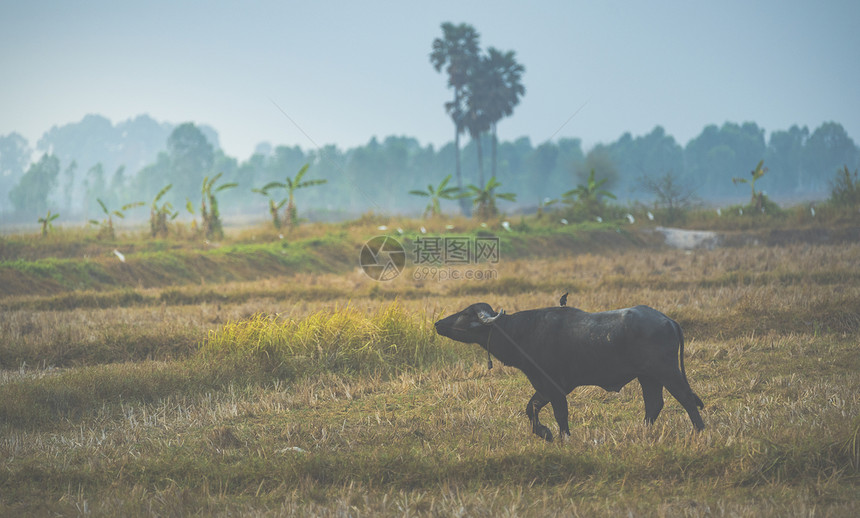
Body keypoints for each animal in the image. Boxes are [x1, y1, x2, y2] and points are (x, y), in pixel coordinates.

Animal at [436, 304, 704, 442]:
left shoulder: (554, 387)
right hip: (648, 377)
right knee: (654, 403)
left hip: (667, 371)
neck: (522, 332)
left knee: (686, 398)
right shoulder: (544, 387)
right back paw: (643, 432)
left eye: (466, 313)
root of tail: (668, 320)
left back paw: (700, 431)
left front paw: (562, 436)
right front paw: (544, 433)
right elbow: (530, 408)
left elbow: (559, 414)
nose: (438, 324)